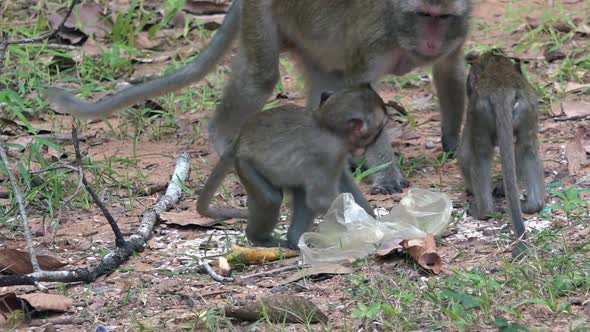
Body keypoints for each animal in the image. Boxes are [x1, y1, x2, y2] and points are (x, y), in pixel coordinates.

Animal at [44, 0, 474, 195]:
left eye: (443, 17)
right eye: (424, 15)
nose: (431, 41)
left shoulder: (454, 38)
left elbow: (449, 72)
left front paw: (453, 143)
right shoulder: (374, 40)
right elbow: (360, 90)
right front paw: (384, 174)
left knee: (325, 79)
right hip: (265, 13)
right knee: (260, 78)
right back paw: (224, 141)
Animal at [197, 85, 386, 249]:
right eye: (379, 128)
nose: (379, 137)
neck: (327, 127)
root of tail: (238, 140)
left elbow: (342, 183)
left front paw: (371, 218)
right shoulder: (327, 154)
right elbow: (320, 199)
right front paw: (366, 226)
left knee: (300, 191)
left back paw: (295, 239)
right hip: (245, 164)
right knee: (271, 199)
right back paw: (259, 239)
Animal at [460, 50, 548, 256]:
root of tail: (502, 89)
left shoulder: (473, 113)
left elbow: (466, 155)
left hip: (481, 113)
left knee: (481, 154)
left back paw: (484, 211)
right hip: (527, 109)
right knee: (527, 148)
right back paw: (533, 205)